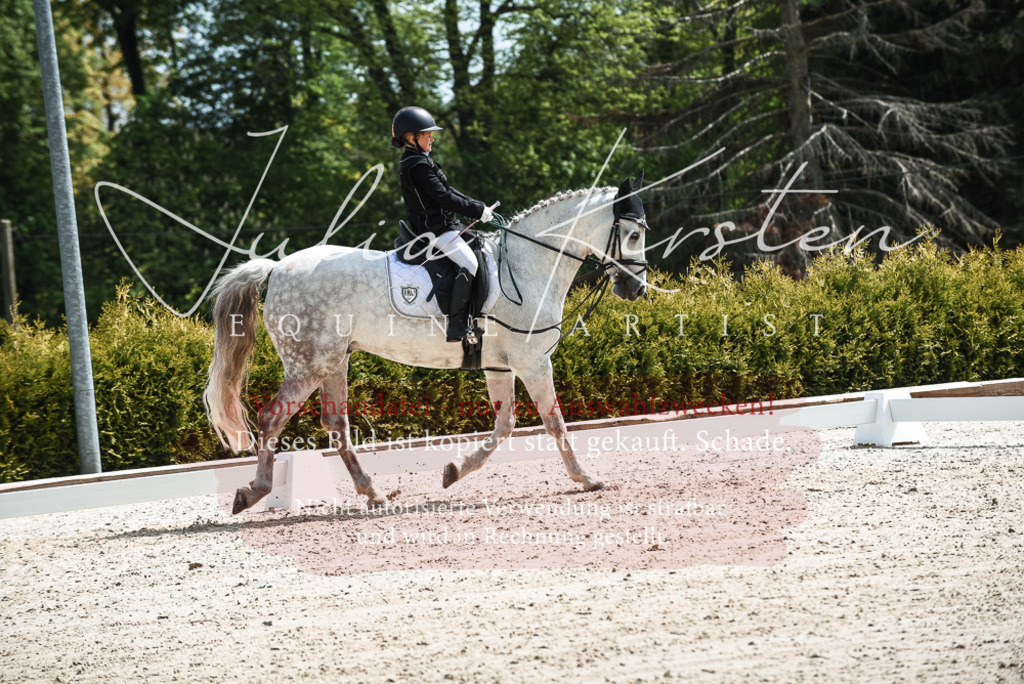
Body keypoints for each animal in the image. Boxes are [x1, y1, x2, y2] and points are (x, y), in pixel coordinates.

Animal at [204, 172, 649, 514]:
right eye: (631, 234)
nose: (637, 289)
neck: (528, 264)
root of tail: (276, 268)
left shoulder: (500, 365)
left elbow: (504, 424)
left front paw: (454, 471)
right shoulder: (534, 362)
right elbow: (554, 422)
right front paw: (587, 478)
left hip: (333, 362)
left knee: (336, 426)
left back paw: (374, 493)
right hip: (308, 365)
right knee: (271, 418)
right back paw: (254, 492)